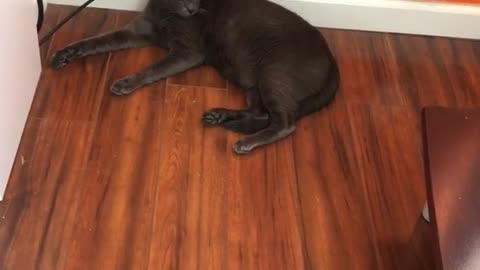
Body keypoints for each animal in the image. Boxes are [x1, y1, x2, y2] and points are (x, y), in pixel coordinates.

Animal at [50, 0, 340, 154]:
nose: (191, 8)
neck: (165, 9)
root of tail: (333, 60)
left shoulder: (188, 52)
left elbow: (152, 69)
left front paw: (125, 83)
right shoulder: (137, 31)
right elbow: (97, 41)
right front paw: (66, 53)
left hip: (273, 74)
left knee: (285, 122)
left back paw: (246, 142)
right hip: (253, 82)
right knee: (261, 113)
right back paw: (219, 116)